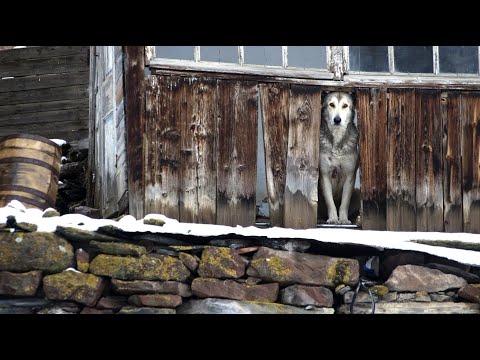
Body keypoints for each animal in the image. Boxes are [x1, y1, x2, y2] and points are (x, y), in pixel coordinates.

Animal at [316, 91, 358, 224]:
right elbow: (330, 202)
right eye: (331, 104)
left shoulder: (350, 176)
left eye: (345, 106)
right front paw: (333, 218)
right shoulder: (324, 176)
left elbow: (345, 202)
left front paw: (343, 219)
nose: (337, 120)